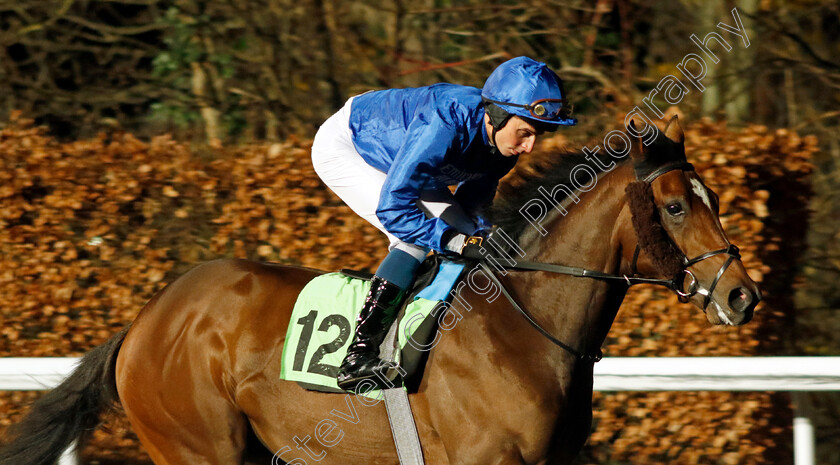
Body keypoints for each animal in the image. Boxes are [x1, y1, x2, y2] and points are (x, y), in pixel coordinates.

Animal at [1, 117, 760, 464]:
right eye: (675, 207)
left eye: (716, 198)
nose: (742, 295)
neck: (524, 326)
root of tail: (147, 320)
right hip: (197, 445)